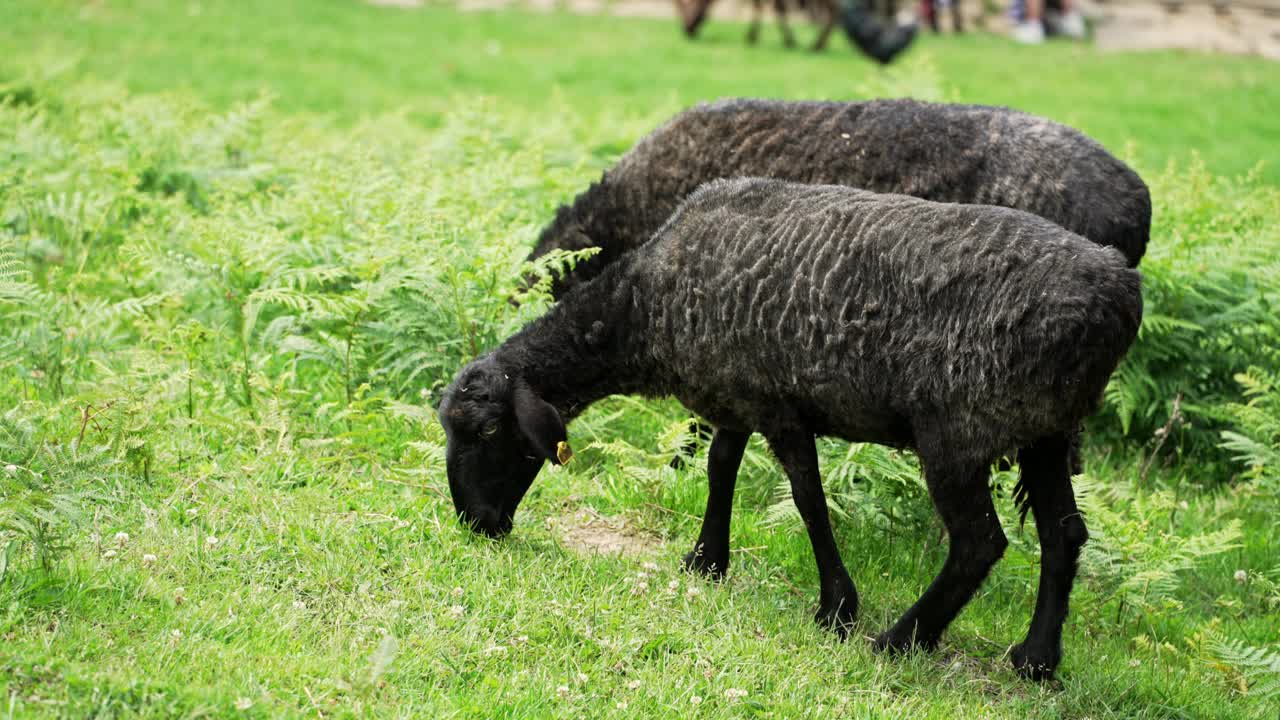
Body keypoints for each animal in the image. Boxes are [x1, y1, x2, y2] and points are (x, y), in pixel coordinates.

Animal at [445, 179, 1146, 676]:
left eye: (487, 432)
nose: (475, 523)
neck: (639, 308)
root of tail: (1119, 293)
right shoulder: (737, 391)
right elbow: (721, 468)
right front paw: (706, 560)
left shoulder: (779, 405)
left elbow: (808, 498)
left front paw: (837, 608)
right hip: (1047, 428)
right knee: (1063, 534)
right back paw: (1036, 660)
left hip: (958, 430)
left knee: (979, 543)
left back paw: (900, 640)